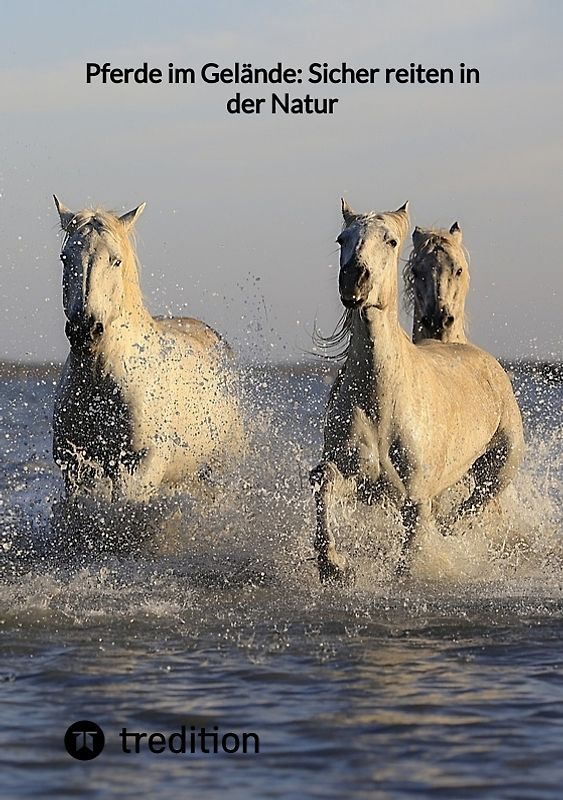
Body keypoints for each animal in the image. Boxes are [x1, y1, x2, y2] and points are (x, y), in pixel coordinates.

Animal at [52, 196, 244, 503]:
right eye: (65, 257)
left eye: (116, 260)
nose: (85, 331)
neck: (101, 381)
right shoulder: (76, 469)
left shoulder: (140, 468)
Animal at [310, 199, 524, 583]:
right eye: (341, 239)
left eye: (391, 241)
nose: (354, 279)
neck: (382, 399)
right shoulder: (357, 478)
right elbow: (324, 483)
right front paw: (333, 563)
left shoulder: (415, 498)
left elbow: (411, 553)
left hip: (498, 470)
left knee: (472, 508)